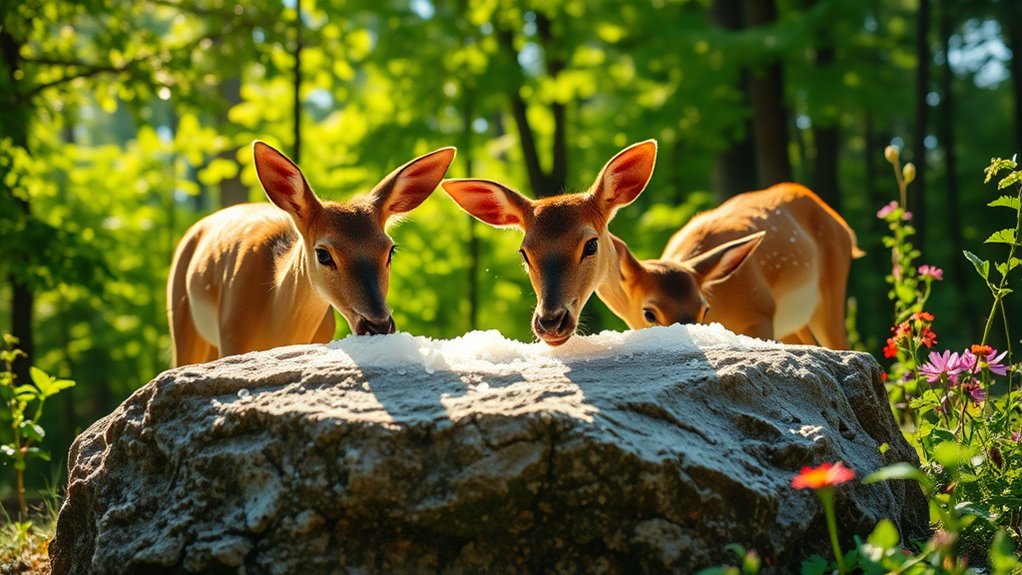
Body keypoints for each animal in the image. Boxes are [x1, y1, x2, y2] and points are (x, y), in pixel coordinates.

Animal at [442, 139, 861, 348]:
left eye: (590, 244)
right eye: (524, 252)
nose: (550, 322)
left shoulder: (761, 314)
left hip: (832, 285)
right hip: (797, 319)